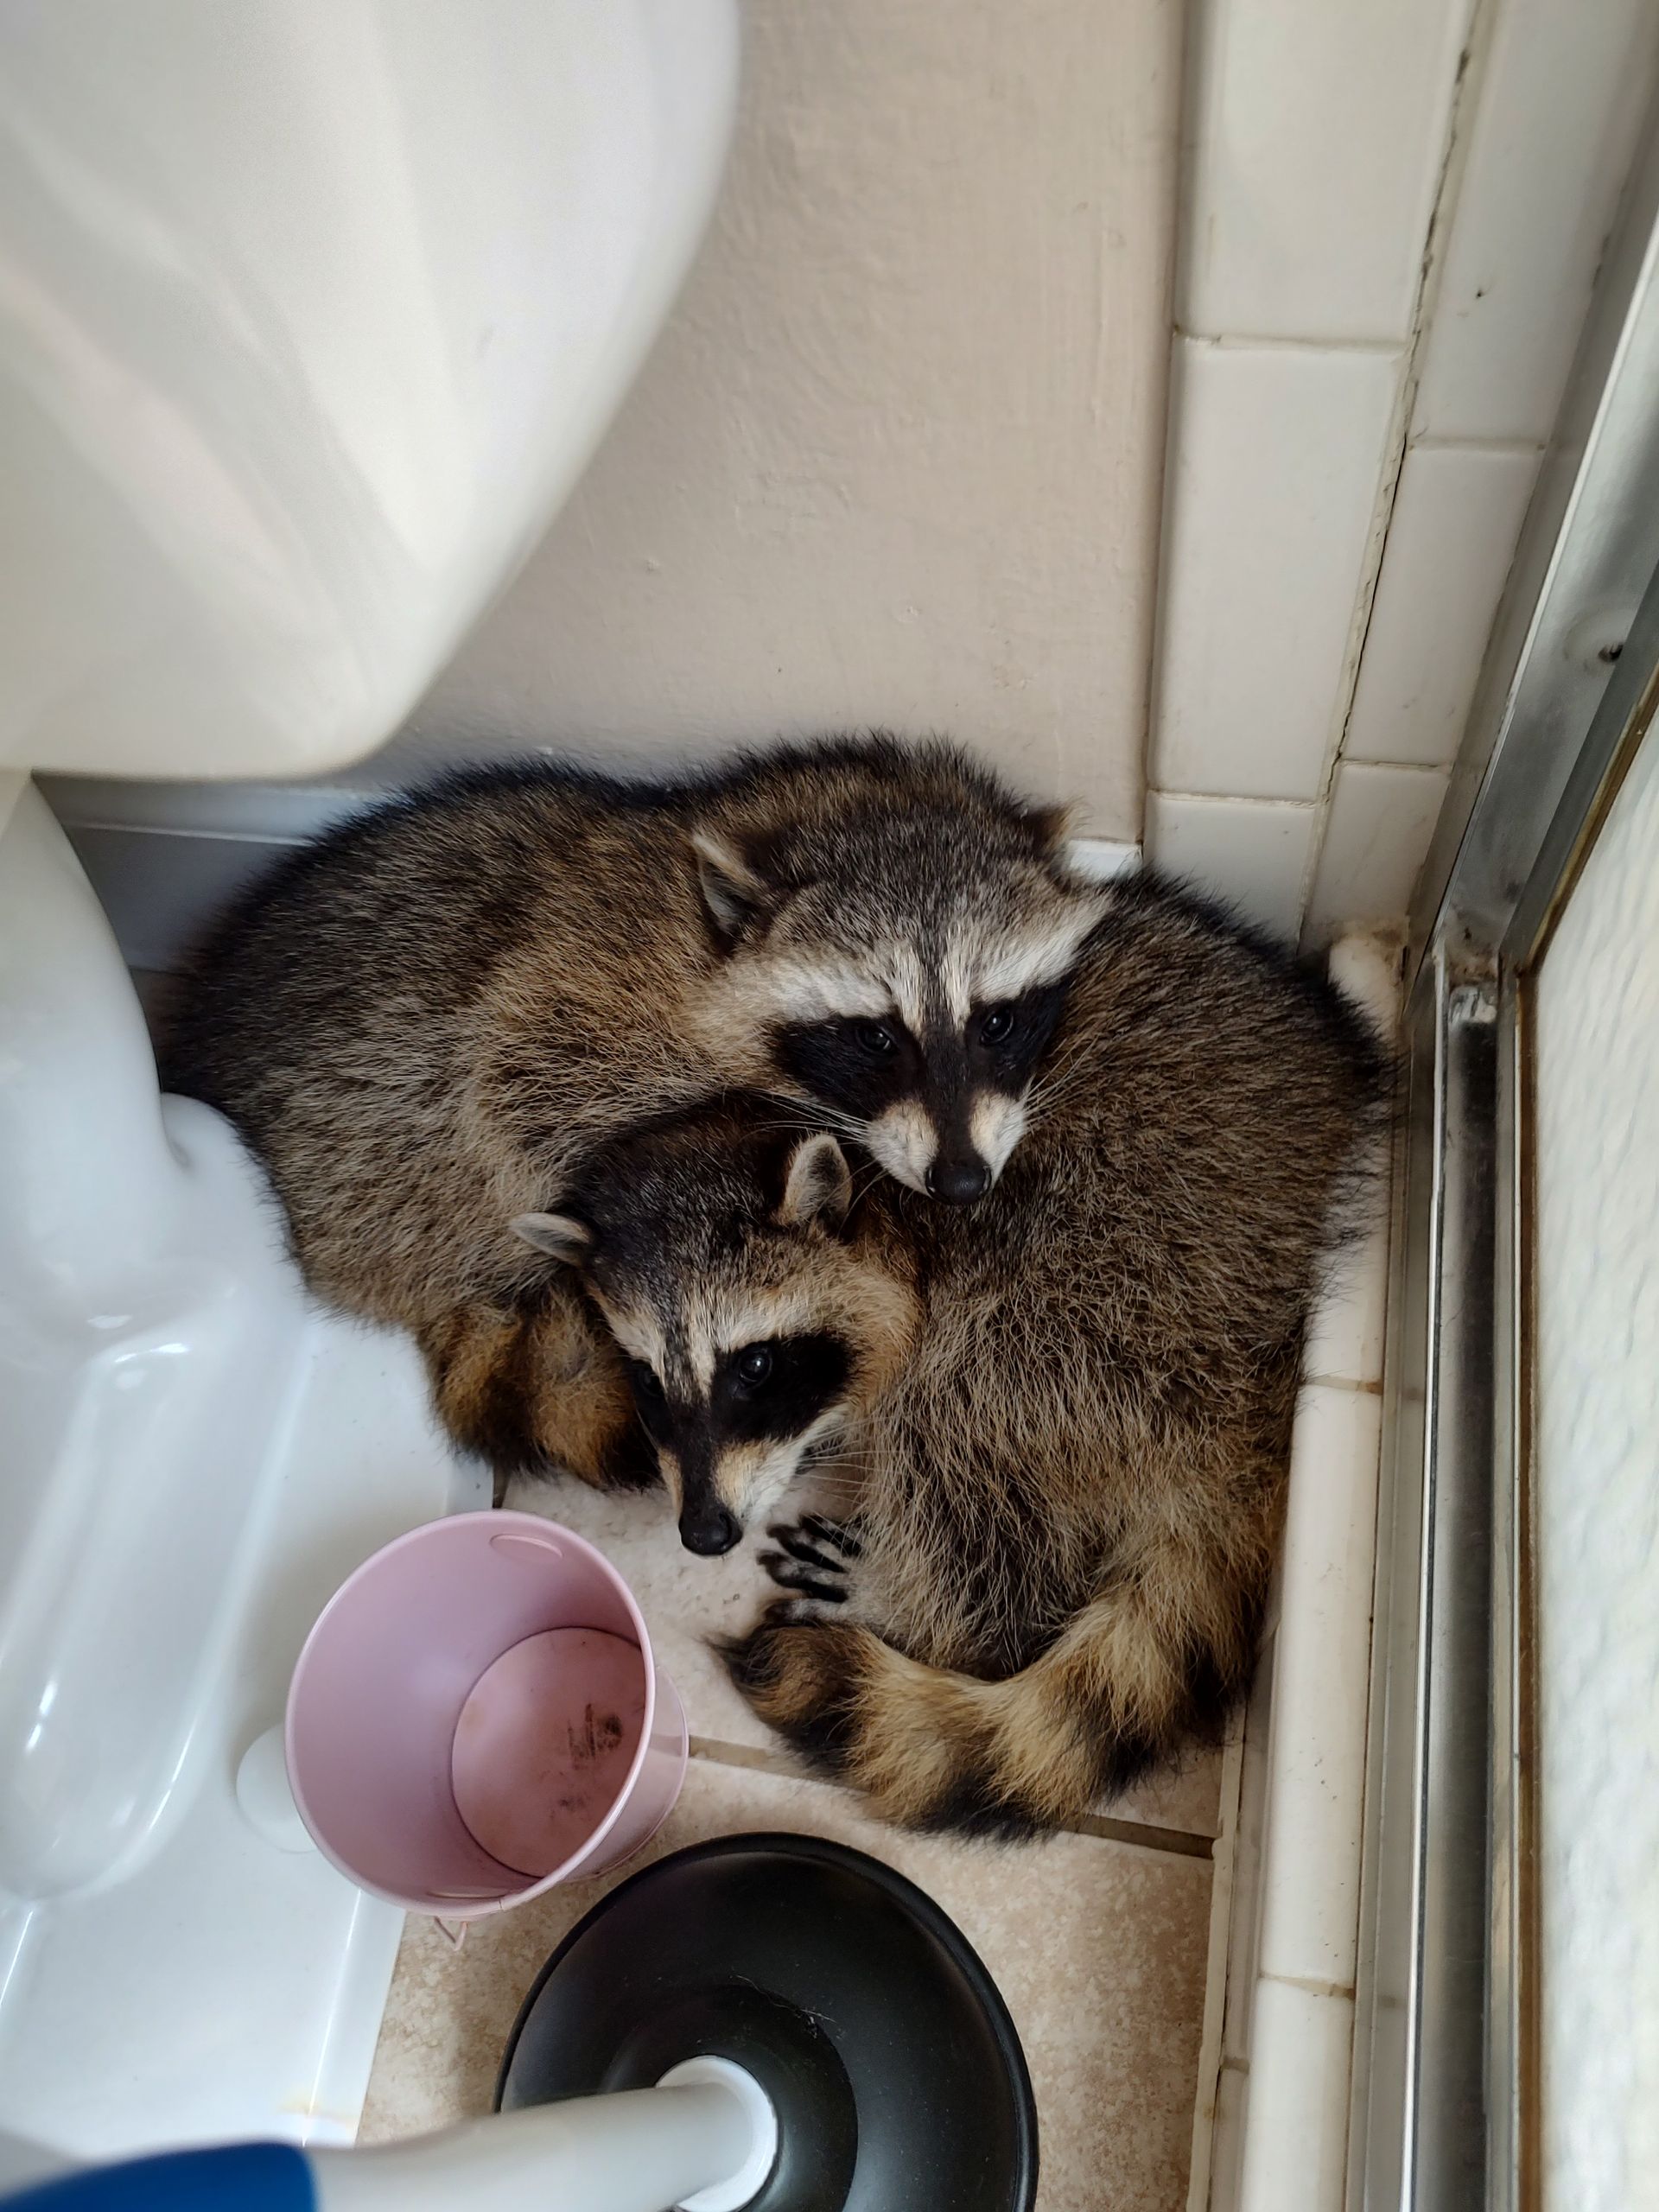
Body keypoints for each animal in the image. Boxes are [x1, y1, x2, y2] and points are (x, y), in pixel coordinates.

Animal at [164, 737, 1102, 1496]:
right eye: (875, 1036)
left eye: (996, 1021)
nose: (961, 1181)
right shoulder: (569, 1018)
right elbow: (524, 1114)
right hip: (368, 1170)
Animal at [519, 875, 1390, 1833]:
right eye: (644, 1379)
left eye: (755, 1367)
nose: (705, 1533)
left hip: (1149, 1281)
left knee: (968, 1393)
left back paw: (927, 1598)